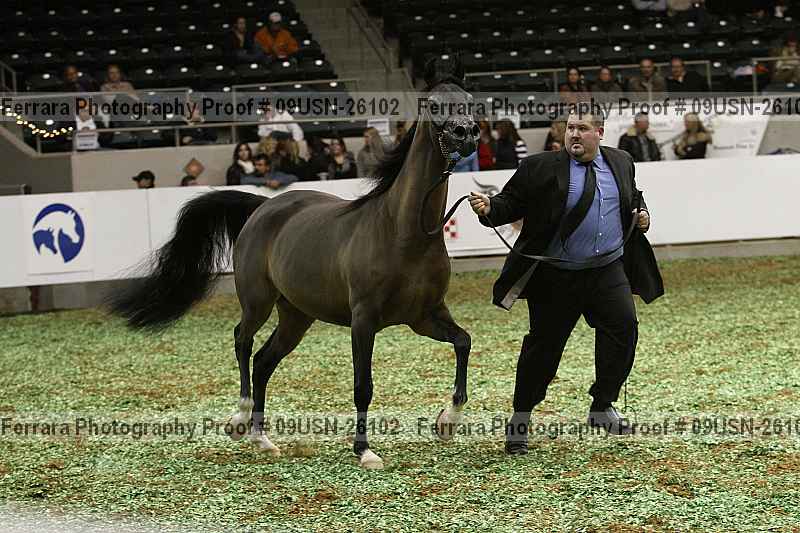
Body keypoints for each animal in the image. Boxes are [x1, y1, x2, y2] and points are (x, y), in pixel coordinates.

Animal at [108, 60, 479, 469]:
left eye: (470, 100)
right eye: (433, 104)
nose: (466, 133)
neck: (403, 233)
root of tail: (262, 206)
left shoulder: (424, 315)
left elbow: (464, 342)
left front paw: (447, 421)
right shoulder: (364, 320)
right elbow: (363, 385)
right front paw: (365, 451)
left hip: (296, 316)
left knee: (263, 361)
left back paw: (262, 439)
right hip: (257, 301)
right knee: (242, 341)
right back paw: (240, 419)